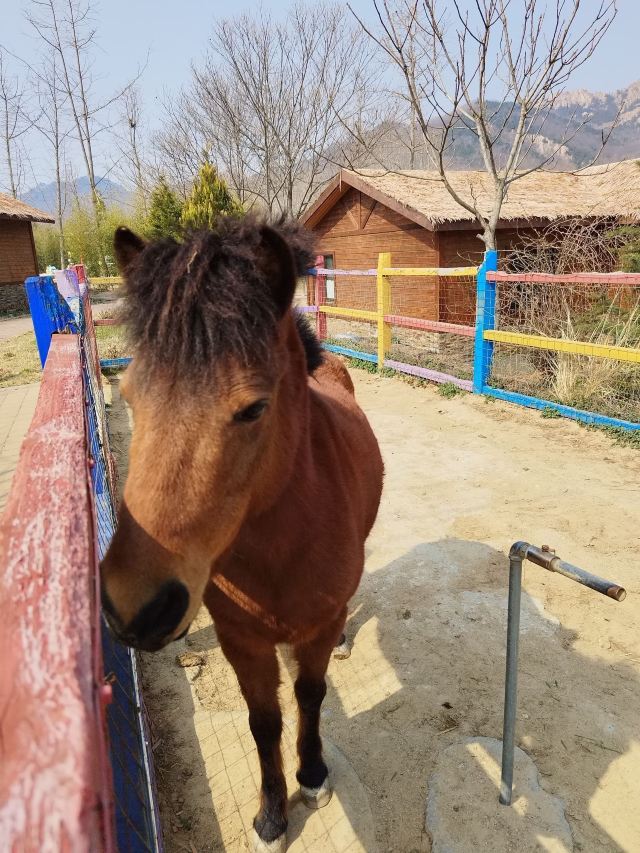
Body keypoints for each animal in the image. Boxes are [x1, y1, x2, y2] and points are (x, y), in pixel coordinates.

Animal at [100, 217, 384, 852]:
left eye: (253, 408)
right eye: (129, 394)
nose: (135, 606)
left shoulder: (313, 631)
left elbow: (309, 697)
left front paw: (312, 776)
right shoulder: (241, 641)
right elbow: (264, 722)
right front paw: (272, 814)